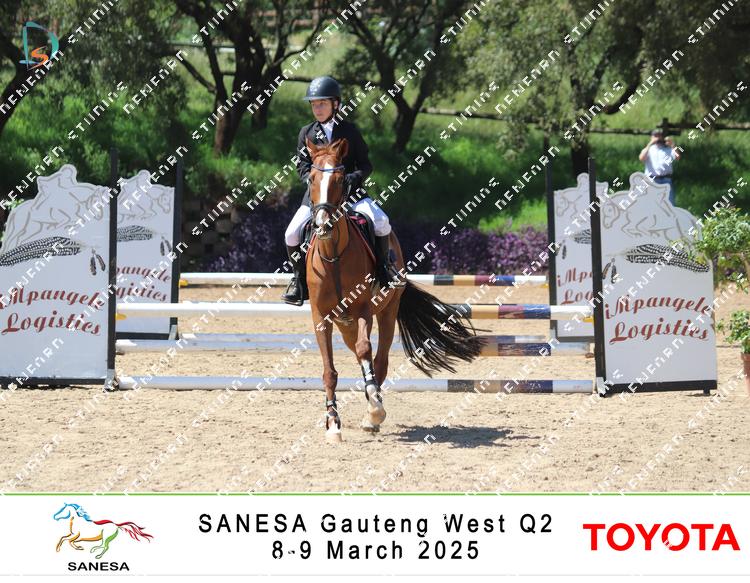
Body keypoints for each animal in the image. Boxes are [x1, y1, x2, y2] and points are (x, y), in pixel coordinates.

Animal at [304, 137, 484, 442]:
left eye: (340, 179)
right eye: (311, 179)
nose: (323, 224)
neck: (334, 255)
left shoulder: (363, 310)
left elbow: (367, 351)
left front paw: (375, 409)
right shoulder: (322, 317)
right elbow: (330, 371)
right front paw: (333, 425)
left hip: (387, 313)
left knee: (379, 359)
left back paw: (373, 413)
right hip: (345, 323)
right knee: (362, 356)